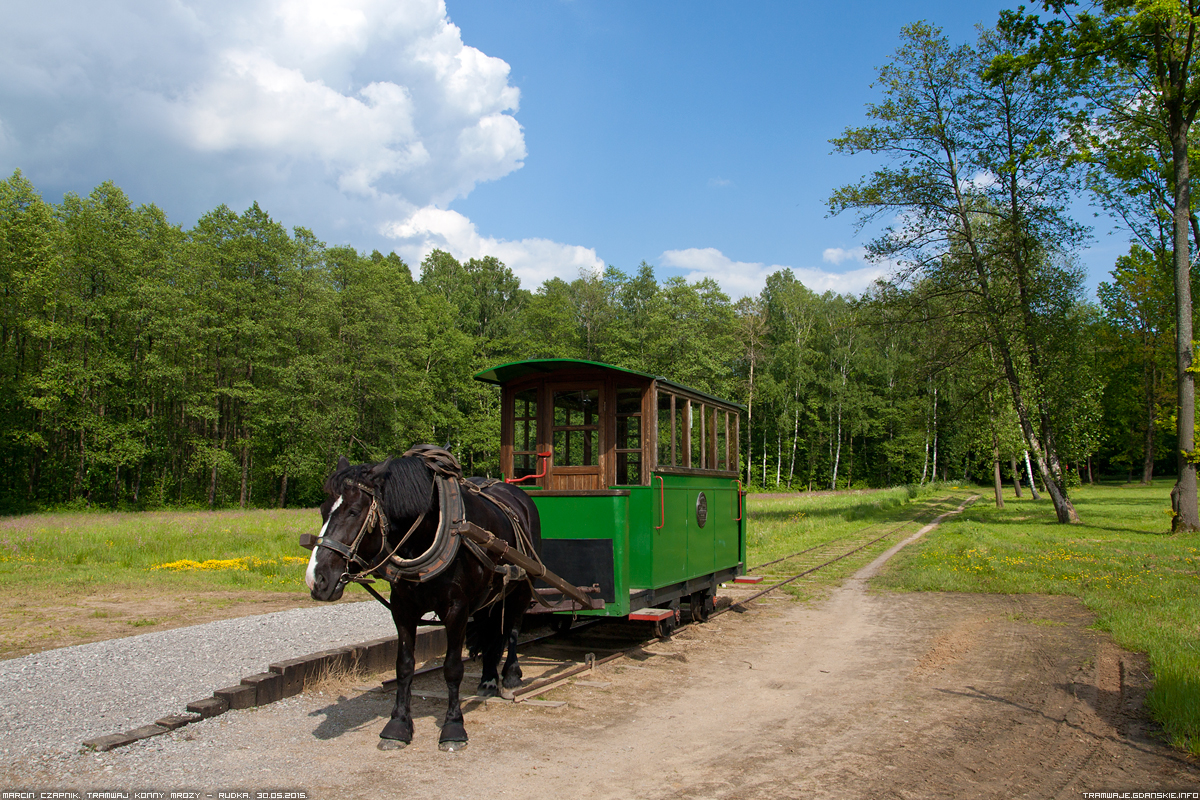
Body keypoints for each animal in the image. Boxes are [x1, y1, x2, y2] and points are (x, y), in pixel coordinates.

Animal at [304, 453, 540, 753]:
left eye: (354, 512)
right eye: (323, 510)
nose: (317, 579)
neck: (432, 531)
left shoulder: (457, 609)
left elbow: (453, 668)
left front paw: (453, 727)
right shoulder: (403, 607)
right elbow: (404, 666)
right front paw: (397, 725)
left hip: (523, 584)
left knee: (512, 627)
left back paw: (510, 676)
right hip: (490, 592)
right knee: (490, 629)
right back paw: (488, 678)